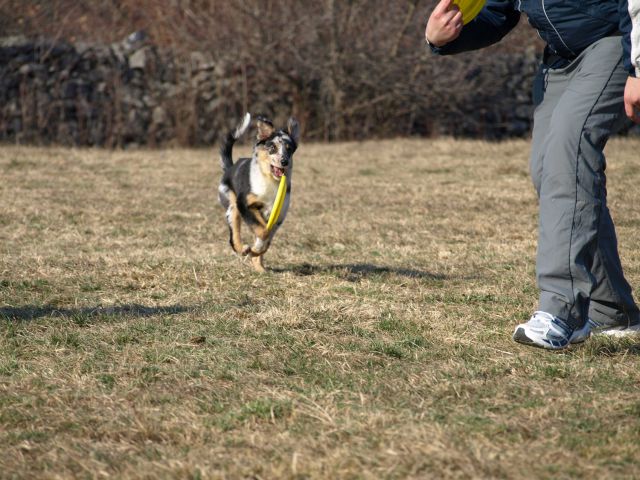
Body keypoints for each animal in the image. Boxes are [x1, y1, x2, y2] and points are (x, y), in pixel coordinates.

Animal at [218, 111, 300, 270]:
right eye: (272, 147)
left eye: (289, 149)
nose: (284, 161)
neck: (270, 181)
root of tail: (230, 168)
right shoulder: (245, 204)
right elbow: (262, 231)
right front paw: (253, 249)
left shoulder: (278, 216)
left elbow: (266, 237)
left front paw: (257, 252)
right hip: (232, 206)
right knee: (234, 234)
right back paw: (243, 249)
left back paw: (259, 268)